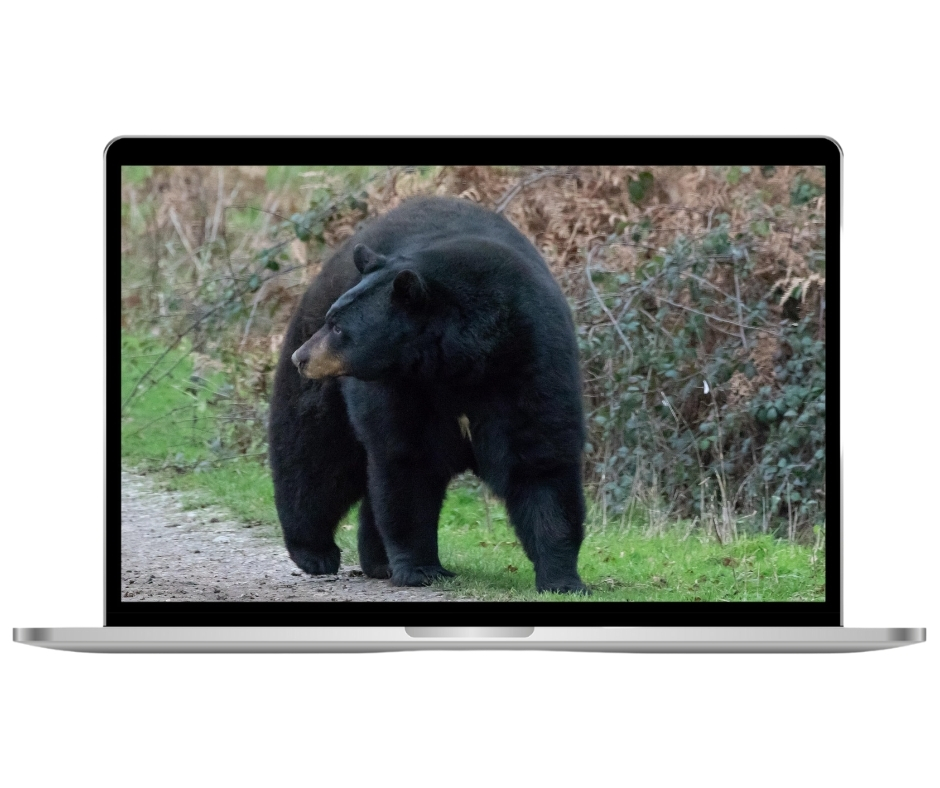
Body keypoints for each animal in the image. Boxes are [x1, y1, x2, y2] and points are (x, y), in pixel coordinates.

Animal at [268, 196, 587, 593]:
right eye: (332, 318)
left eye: (340, 327)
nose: (302, 357)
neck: (462, 363)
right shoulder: (402, 386)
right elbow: (408, 461)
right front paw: (421, 569)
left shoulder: (531, 364)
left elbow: (540, 461)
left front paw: (563, 579)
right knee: (313, 449)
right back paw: (315, 551)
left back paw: (377, 560)